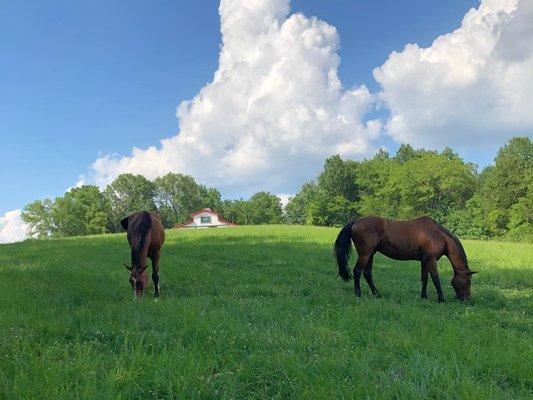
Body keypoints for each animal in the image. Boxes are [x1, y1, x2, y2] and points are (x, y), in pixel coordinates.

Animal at [332, 217, 478, 302]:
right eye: (468, 281)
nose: (467, 299)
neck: (437, 235)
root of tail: (355, 222)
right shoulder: (431, 260)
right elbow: (436, 280)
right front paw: (441, 299)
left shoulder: (424, 261)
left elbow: (425, 279)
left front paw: (423, 297)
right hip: (365, 254)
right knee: (357, 271)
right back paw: (358, 294)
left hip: (370, 255)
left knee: (367, 274)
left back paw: (376, 294)